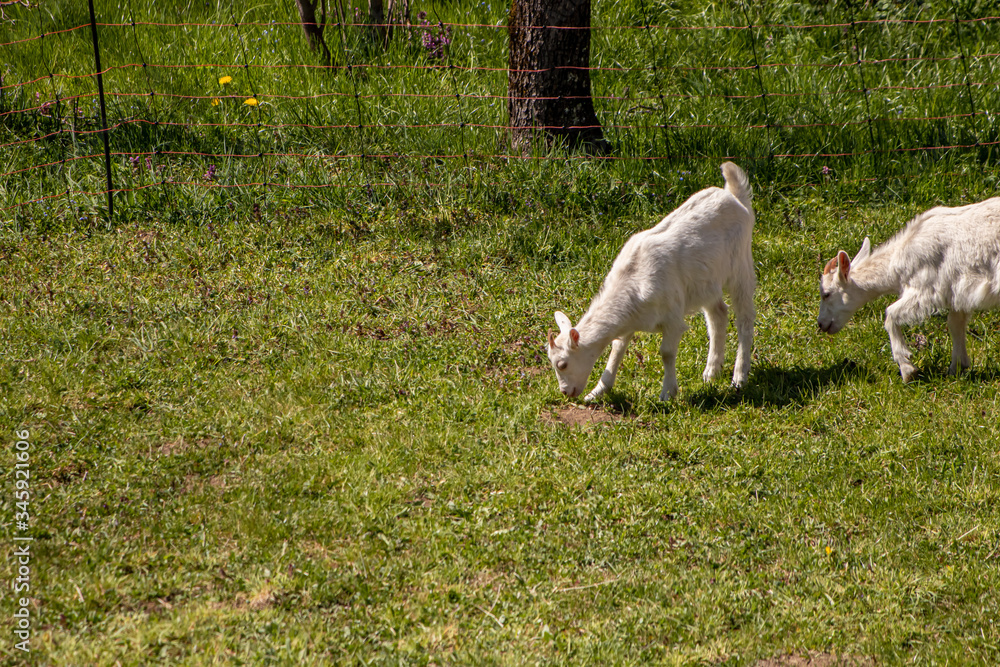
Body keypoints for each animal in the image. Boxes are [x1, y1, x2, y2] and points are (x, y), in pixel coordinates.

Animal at [546, 162, 756, 401]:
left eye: (562, 364)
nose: (566, 392)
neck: (633, 280)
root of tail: (735, 196)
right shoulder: (628, 319)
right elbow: (617, 348)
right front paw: (598, 391)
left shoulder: (673, 317)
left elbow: (666, 353)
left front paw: (667, 392)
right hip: (706, 282)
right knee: (718, 314)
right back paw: (711, 372)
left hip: (740, 265)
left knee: (745, 320)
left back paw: (739, 377)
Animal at [817, 197, 1000, 381]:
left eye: (826, 294)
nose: (821, 324)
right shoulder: (958, 292)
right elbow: (955, 323)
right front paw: (957, 367)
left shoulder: (926, 289)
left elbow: (891, 313)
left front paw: (907, 369)